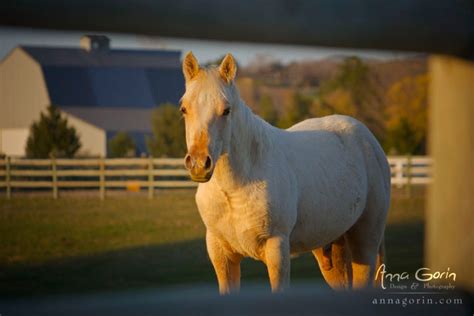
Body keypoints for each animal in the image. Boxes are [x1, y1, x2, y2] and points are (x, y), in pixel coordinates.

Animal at [180, 52, 390, 294]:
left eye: (226, 110)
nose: (198, 163)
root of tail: (368, 139)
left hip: (365, 241)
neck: (234, 190)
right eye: (184, 108)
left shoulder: (277, 250)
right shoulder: (221, 254)